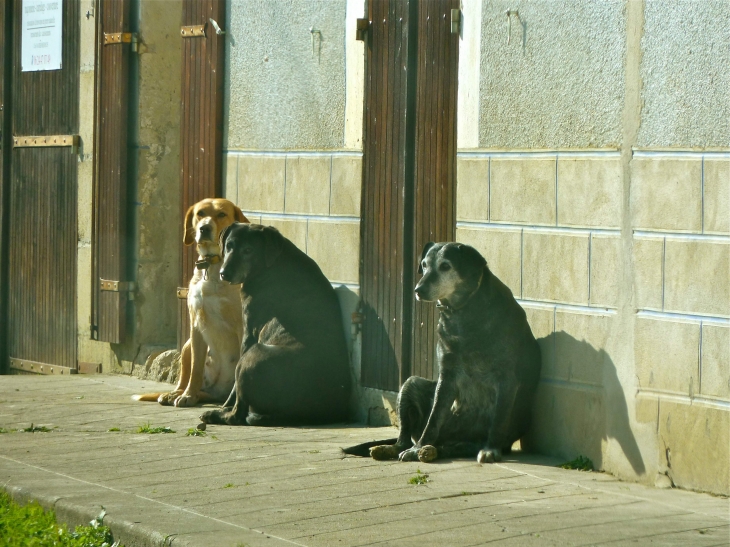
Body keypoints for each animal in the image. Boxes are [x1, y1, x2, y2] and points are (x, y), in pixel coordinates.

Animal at [134, 198, 250, 406]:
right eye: (200, 213)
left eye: (221, 214)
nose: (204, 228)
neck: (212, 266)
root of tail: (217, 393)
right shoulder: (196, 325)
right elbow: (195, 369)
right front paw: (187, 395)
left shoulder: (241, 326)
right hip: (187, 346)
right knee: (184, 378)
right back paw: (177, 394)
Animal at [198, 224, 348, 428]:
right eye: (228, 246)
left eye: (248, 250)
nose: (224, 273)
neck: (271, 262)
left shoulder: (249, 330)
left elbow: (234, 389)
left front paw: (225, 405)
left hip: (254, 354)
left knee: (238, 415)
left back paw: (215, 415)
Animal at [342, 242, 540, 464]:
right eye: (424, 265)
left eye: (445, 266)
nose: (418, 290)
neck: (463, 310)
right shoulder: (447, 376)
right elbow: (434, 417)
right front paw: (416, 448)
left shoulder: (507, 378)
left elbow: (498, 418)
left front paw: (491, 449)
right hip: (410, 384)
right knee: (405, 440)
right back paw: (400, 448)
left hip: (469, 439)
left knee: (453, 448)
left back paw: (431, 451)